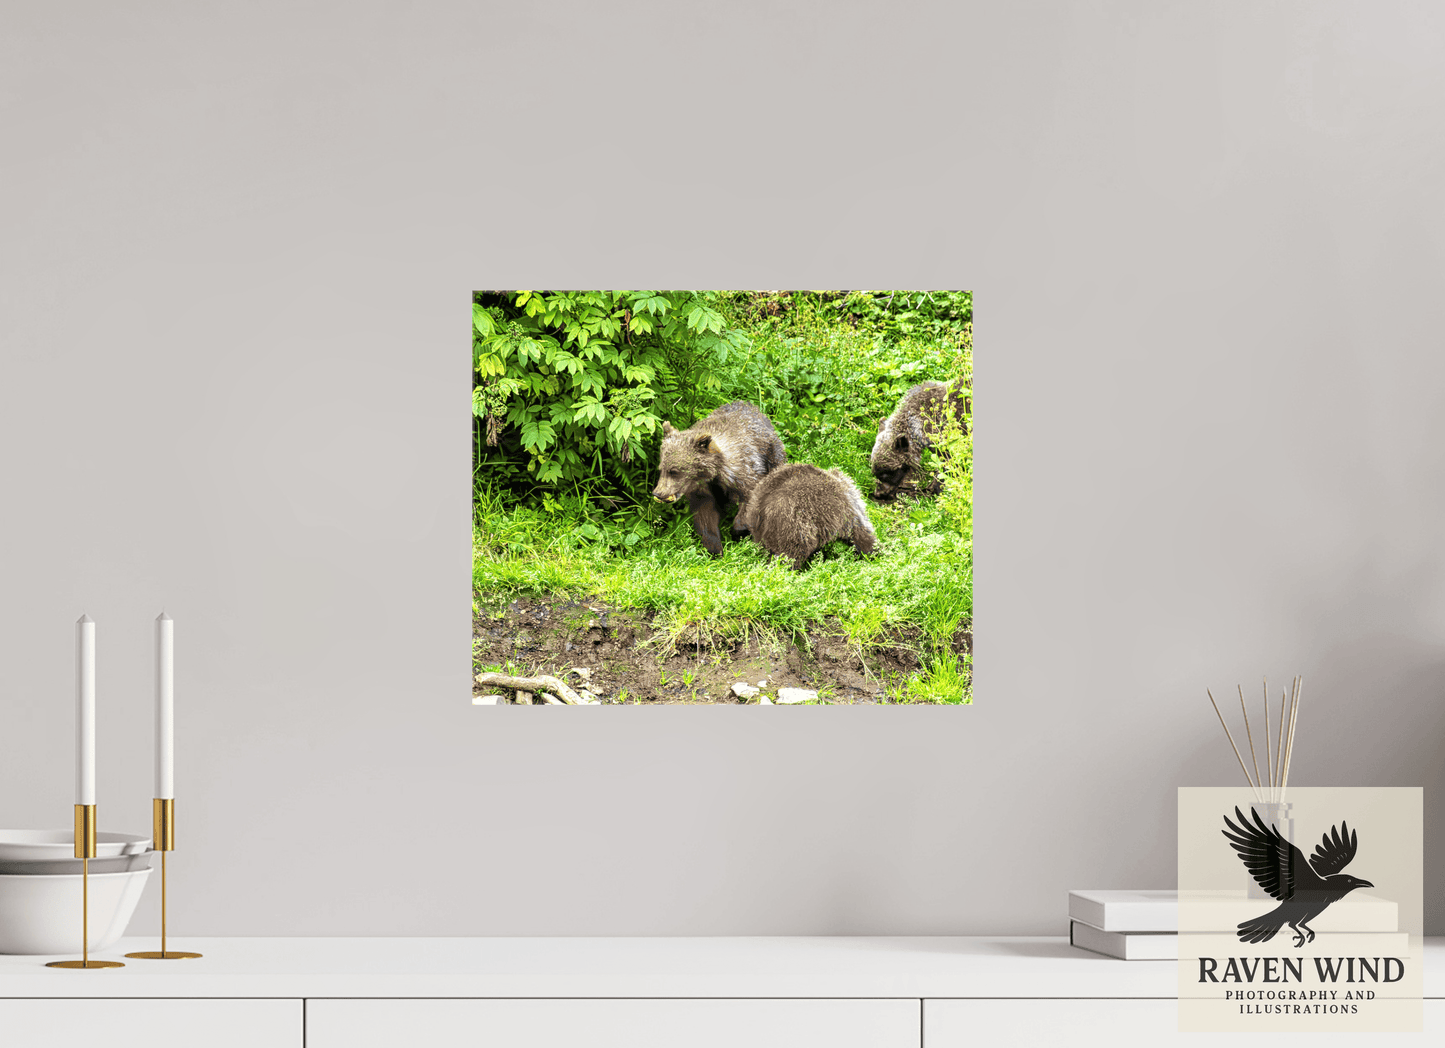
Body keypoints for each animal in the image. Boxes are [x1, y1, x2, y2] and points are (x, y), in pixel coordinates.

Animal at [652, 401, 787, 556]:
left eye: (674, 471)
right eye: (661, 469)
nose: (658, 492)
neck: (714, 472)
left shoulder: (746, 474)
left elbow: (750, 501)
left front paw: (738, 532)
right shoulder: (703, 490)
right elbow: (706, 516)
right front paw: (715, 549)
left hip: (773, 454)